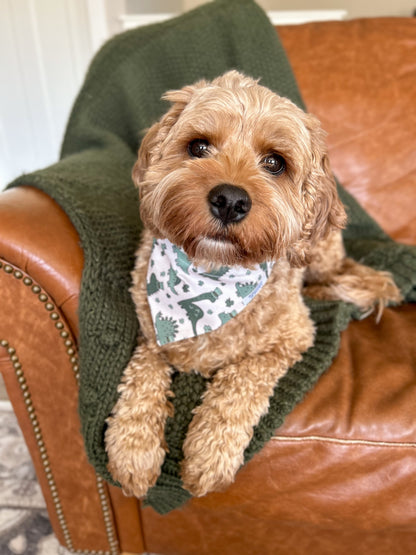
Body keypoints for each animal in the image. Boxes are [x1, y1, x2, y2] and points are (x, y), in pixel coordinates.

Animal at [105, 70, 404, 500]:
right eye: (198, 146)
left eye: (275, 163)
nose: (230, 200)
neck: (212, 273)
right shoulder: (150, 332)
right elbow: (142, 376)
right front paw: (133, 450)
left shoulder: (291, 339)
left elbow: (239, 382)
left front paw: (208, 456)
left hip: (319, 251)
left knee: (331, 274)